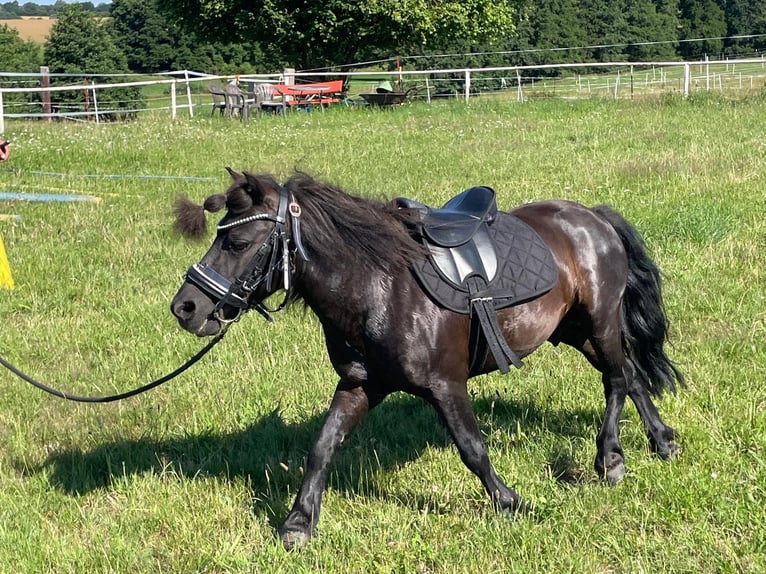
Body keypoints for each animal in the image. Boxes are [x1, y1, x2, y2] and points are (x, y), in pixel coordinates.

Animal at [170, 169, 683, 549]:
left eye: (237, 243)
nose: (185, 308)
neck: (380, 286)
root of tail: (593, 217)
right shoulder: (360, 385)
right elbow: (321, 448)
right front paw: (299, 523)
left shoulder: (445, 385)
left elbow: (472, 449)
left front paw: (511, 503)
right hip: (576, 331)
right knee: (631, 375)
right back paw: (661, 441)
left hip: (600, 322)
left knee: (616, 380)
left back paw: (610, 458)